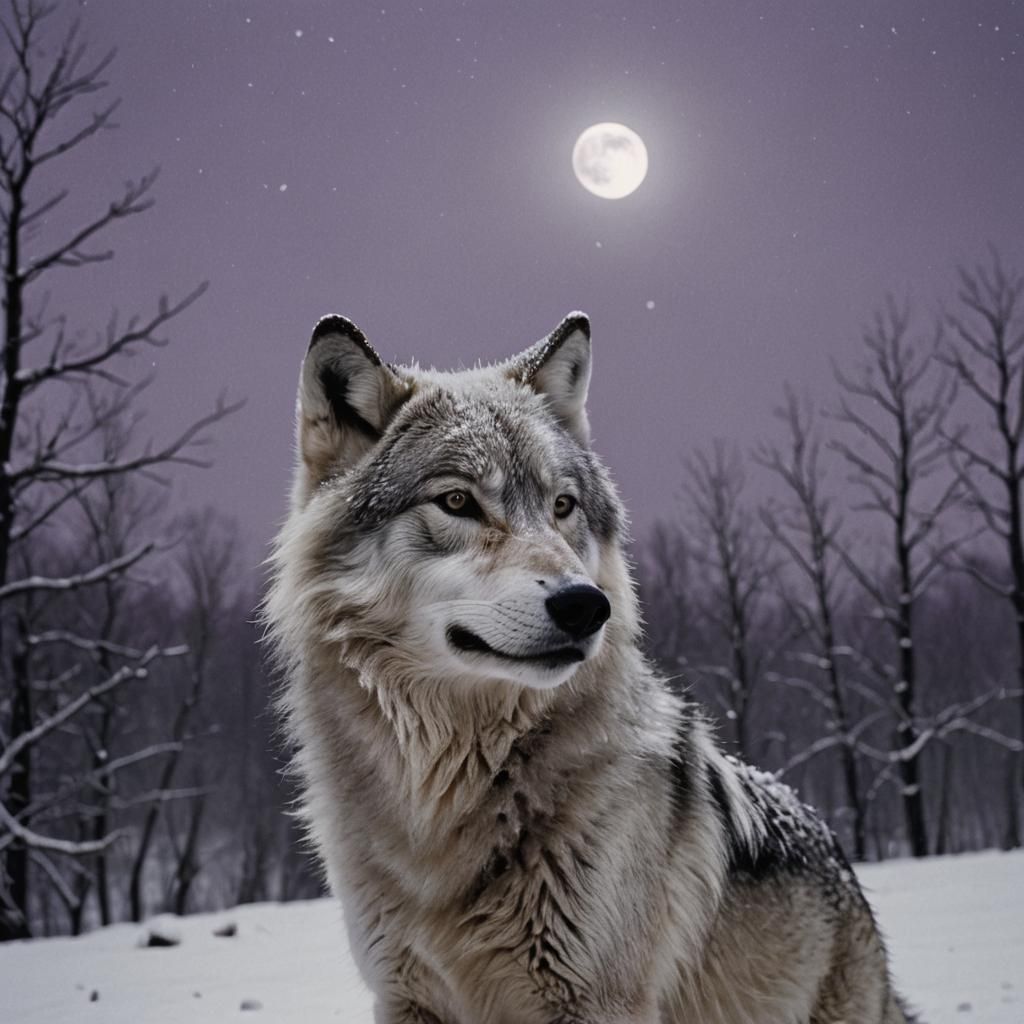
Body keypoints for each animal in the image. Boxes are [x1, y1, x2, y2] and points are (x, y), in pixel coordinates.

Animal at [266, 311, 912, 1024]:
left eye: (563, 506)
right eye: (458, 502)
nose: (585, 605)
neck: (452, 790)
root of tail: (836, 854)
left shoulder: (596, 1002)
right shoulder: (404, 998)